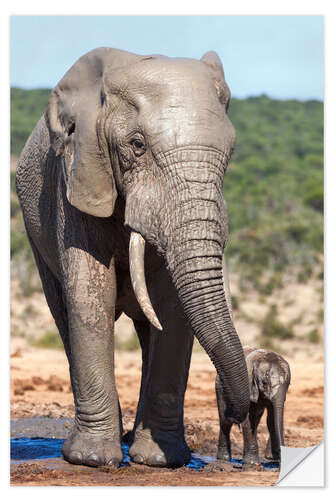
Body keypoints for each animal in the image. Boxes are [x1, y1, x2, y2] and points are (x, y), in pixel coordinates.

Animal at [15, 47, 249, 468]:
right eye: (137, 145)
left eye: (231, 151)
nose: (235, 416)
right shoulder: (76, 176)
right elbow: (90, 295)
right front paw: (92, 459)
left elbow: (172, 308)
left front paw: (159, 460)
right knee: (63, 313)